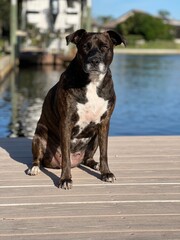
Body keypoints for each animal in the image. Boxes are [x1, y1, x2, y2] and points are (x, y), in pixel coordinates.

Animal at [27, 28, 126, 189]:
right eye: (85, 46)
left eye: (104, 47)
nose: (94, 61)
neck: (92, 82)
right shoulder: (66, 122)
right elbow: (66, 157)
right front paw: (65, 179)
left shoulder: (104, 123)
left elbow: (104, 153)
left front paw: (106, 173)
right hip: (39, 136)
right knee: (38, 158)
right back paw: (34, 168)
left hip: (95, 136)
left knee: (88, 158)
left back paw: (96, 165)